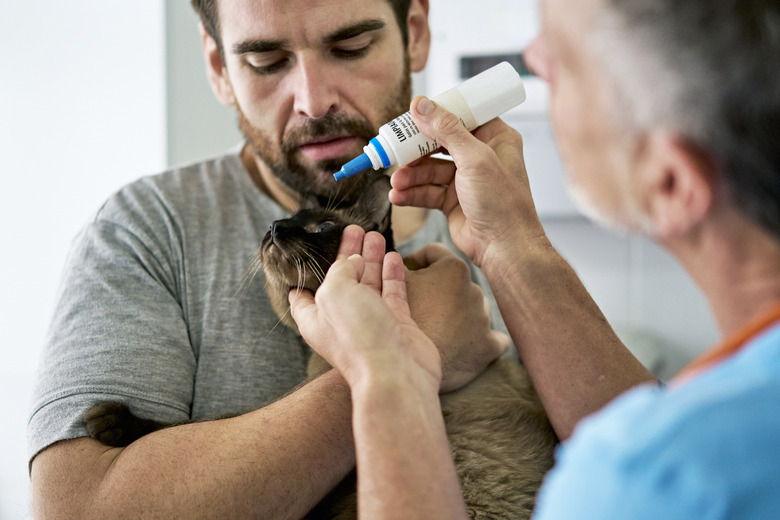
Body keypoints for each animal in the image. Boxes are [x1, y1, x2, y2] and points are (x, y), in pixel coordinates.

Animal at [85, 173, 556, 516]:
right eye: (281, 221)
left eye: (323, 227)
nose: (274, 227)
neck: (320, 360)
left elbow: (200, 421)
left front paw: (111, 422)